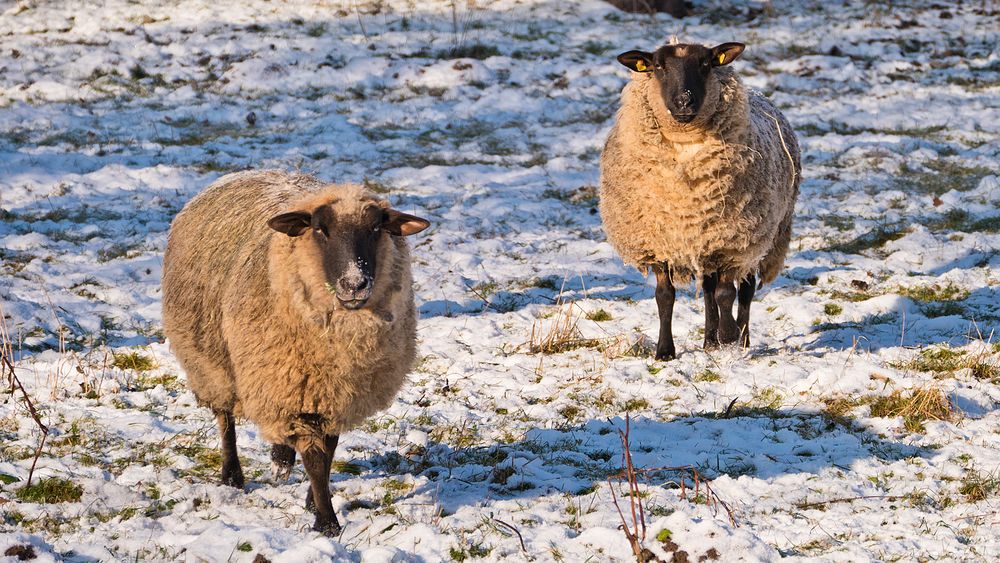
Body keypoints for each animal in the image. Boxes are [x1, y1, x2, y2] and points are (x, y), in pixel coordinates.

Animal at [161, 170, 430, 536]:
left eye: (377, 228)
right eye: (320, 228)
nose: (355, 284)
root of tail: (246, 171)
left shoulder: (332, 393)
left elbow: (328, 452)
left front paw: (314, 500)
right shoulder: (301, 391)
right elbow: (316, 460)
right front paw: (327, 522)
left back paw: (281, 458)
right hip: (211, 362)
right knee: (225, 417)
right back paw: (232, 475)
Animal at [596, 41, 800, 364]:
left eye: (705, 64)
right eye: (658, 66)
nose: (683, 101)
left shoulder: (732, 241)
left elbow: (726, 294)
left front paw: (728, 335)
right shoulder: (660, 243)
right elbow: (665, 297)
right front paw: (665, 351)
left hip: (760, 236)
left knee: (744, 290)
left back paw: (741, 339)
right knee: (707, 289)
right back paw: (709, 341)